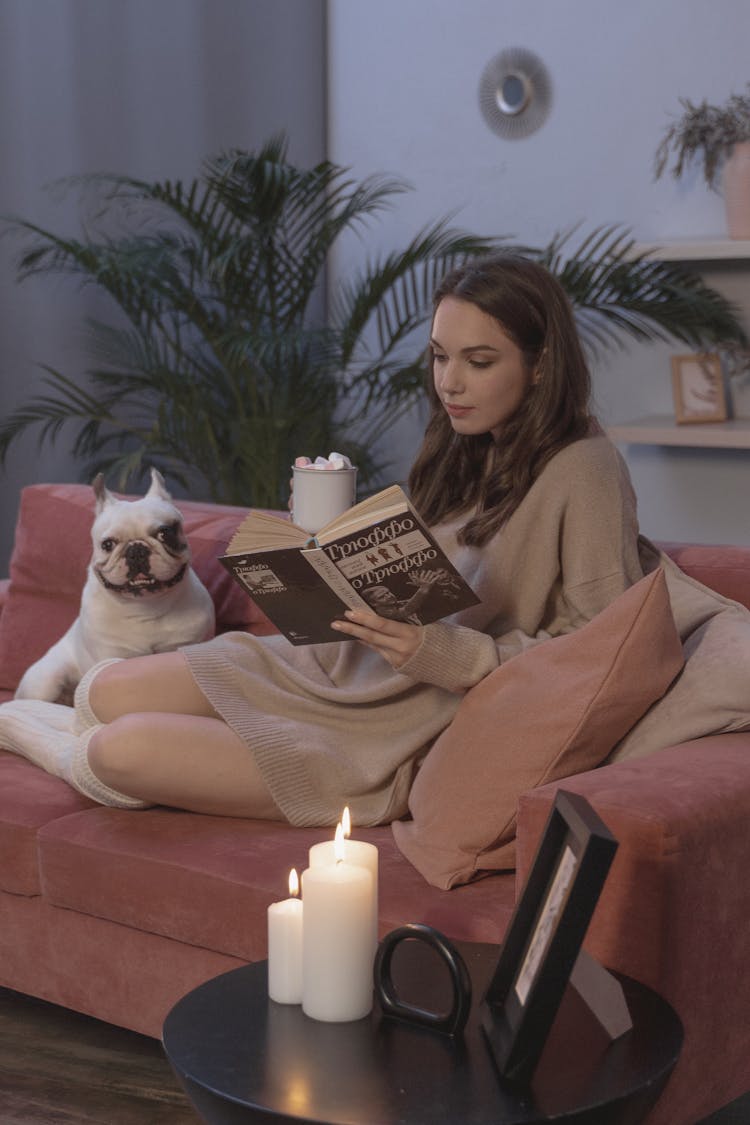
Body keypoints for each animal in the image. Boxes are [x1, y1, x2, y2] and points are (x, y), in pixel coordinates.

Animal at [14, 468, 215, 702]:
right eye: (108, 544)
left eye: (165, 533)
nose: (136, 550)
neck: (147, 606)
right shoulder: (111, 656)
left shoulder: (188, 644)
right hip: (47, 680)